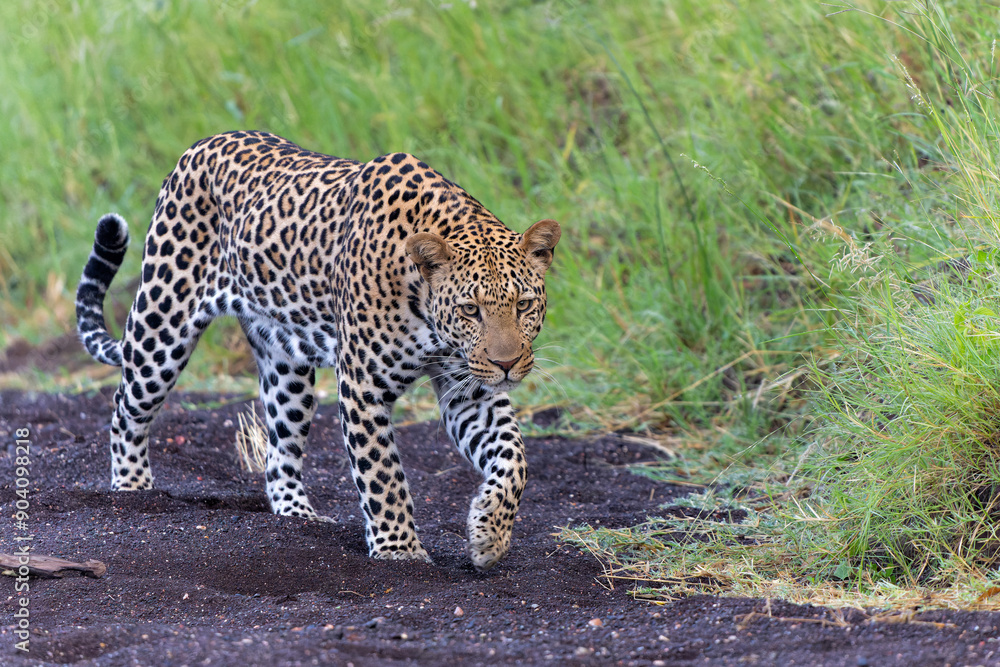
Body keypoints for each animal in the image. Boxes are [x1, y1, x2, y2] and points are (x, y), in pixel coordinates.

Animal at [75, 130, 560, 571]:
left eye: (523, 305)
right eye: (469, 310)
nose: (507, 364)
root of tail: (202, 144)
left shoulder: (470, 392)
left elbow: (515, 458)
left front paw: (489, 533)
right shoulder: (364, 387)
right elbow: (382, 475)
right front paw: (399, 551)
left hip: (287, 370)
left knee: (279, 451)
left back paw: (297, 520)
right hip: (161, 326)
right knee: (126, 407)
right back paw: (133, 491)